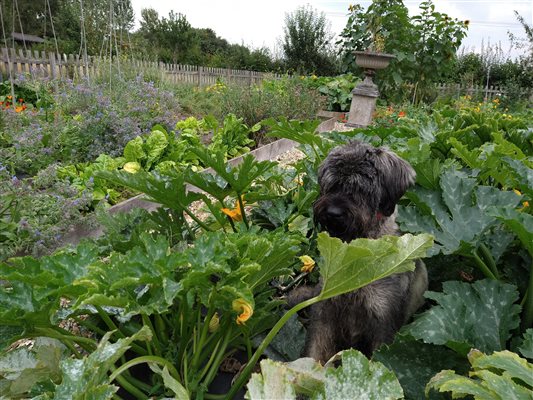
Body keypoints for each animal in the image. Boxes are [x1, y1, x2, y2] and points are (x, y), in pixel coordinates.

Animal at [286, 141, 428, 362]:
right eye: (332, 184)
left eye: (362, 188)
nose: (333, 212)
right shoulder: (323, 314)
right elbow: (313, 352)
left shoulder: (382, 324)